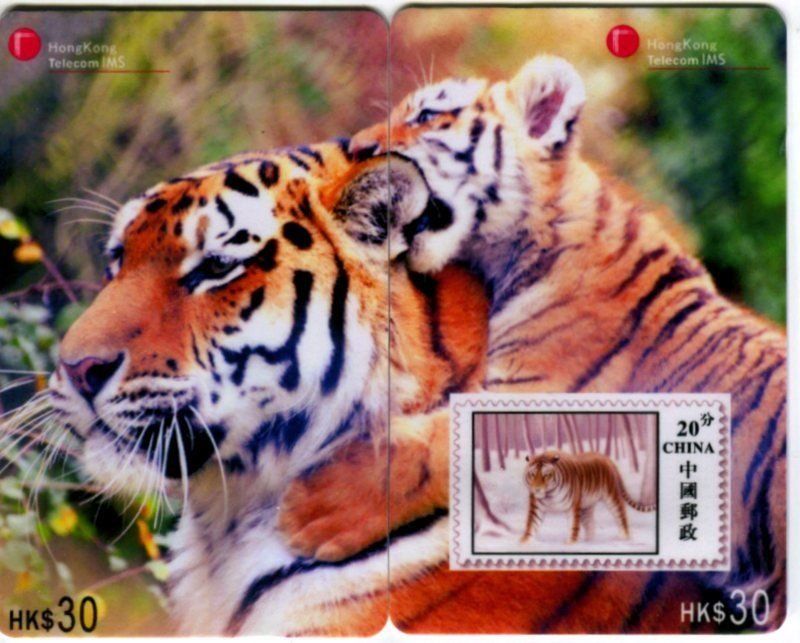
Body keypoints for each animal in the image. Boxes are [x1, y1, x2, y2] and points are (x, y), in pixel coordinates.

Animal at [521, 451, 656, 544]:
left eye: (546, 475)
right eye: (532, 474)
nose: (537, 489)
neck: (549, 495)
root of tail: (607, 459)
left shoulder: (572, 507)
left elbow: (573, 526)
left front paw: (571, 543)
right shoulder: (536, 507)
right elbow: (531, 524)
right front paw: (524, 542)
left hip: (611, 497)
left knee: (621, 515)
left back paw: (625, 538)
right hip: (587, 506)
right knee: (590, 525)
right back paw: (589, 541)